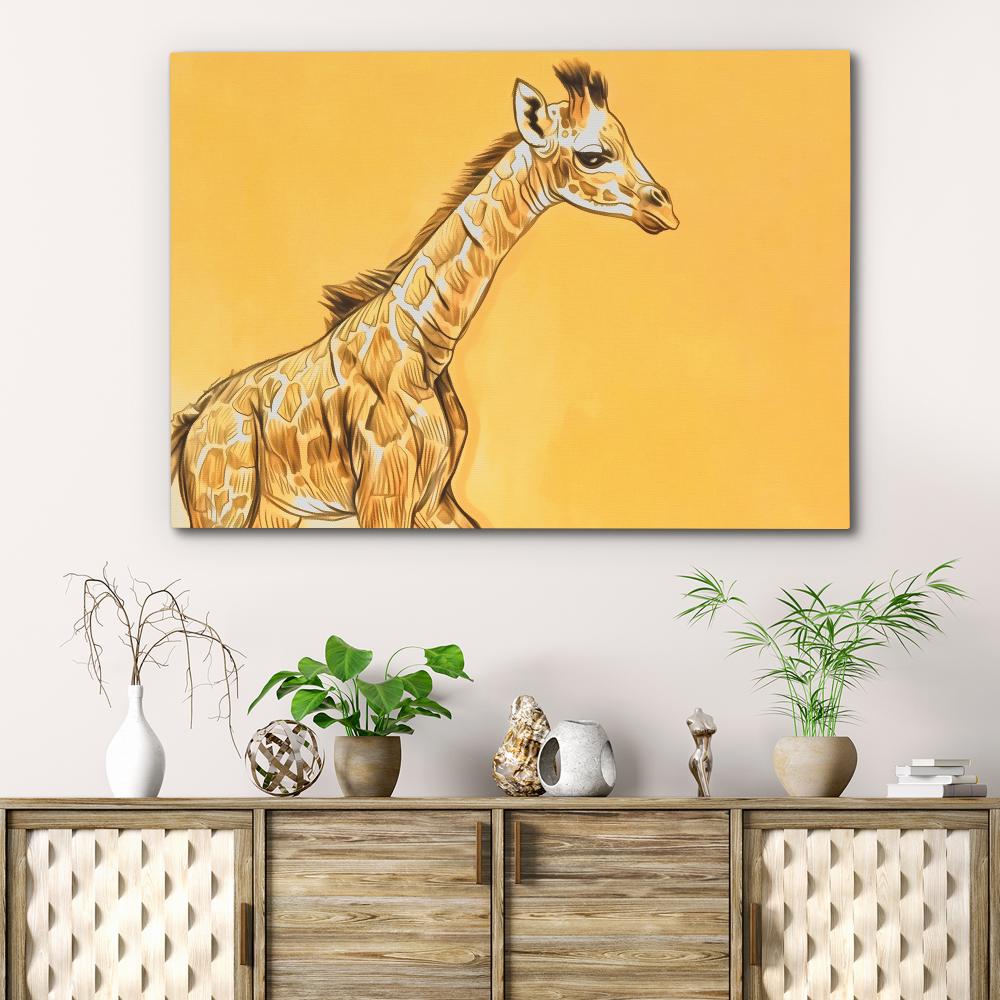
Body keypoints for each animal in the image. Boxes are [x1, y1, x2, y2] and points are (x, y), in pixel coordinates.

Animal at [171, 60, 678, 528]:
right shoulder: (383, 493)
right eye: (593, 155)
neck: (425, 343)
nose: (666, 209)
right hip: (224, 505)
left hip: (276, 511)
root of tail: (195, 418)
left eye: (628, 140)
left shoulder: (434, 498)